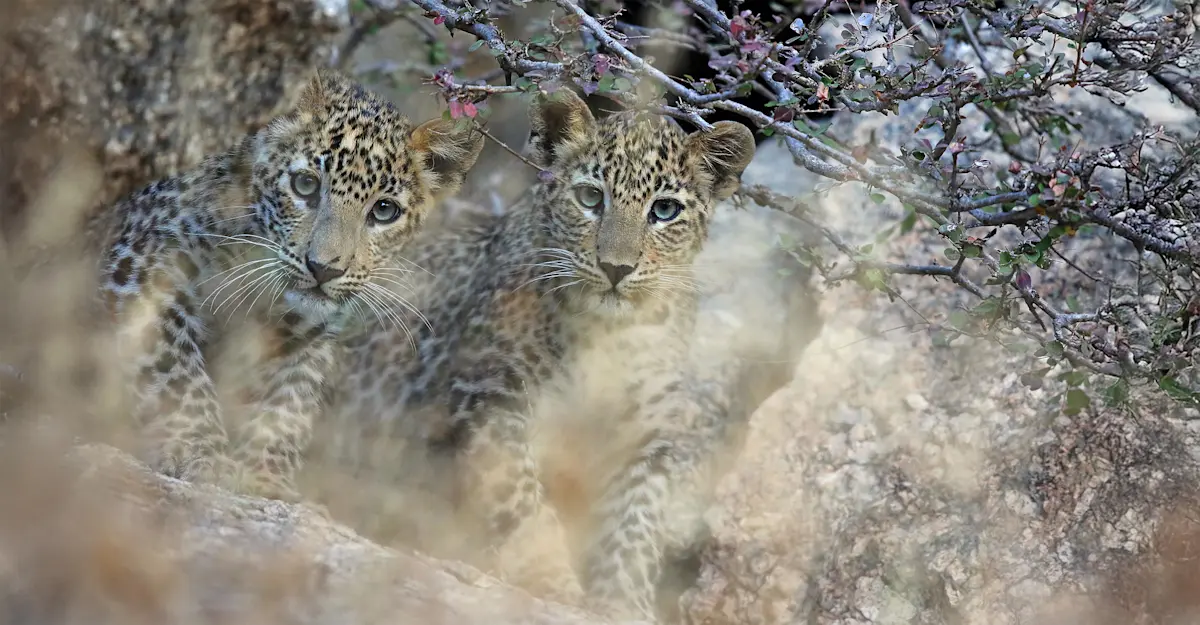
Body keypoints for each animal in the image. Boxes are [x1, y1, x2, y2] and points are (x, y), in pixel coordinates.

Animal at [98, 69, 484, 503]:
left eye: (384, 210)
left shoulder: (308, 332)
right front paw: (200, 452)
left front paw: (266, 477)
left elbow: (290, 401)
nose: (324, 268)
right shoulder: (141, 264)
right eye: (304, 185)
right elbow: (177, 374)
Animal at [327, 86, 757, 618]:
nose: (616, 268)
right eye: (591, 198)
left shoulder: (646, 437)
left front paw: (625, 605)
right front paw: (551, 582)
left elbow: (635, 526)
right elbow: (520, 498)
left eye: (664, 211)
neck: (608, 336)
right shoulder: (490, 395)